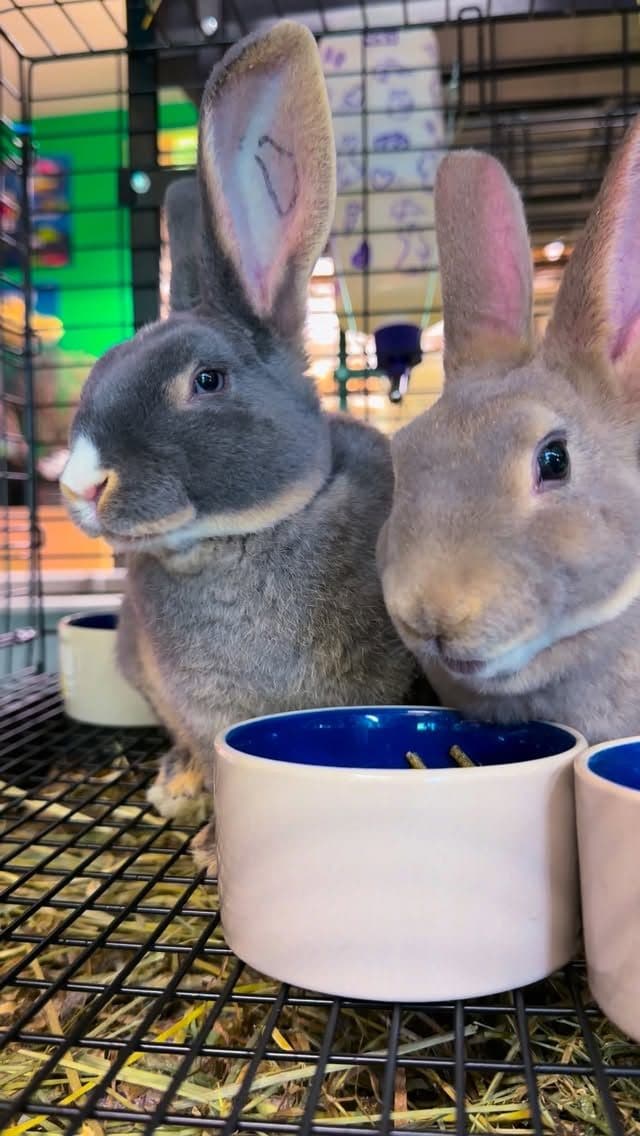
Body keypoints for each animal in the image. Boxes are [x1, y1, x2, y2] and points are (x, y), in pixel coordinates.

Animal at [59, 21, 428, 860]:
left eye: (207, 380)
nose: (79, 482)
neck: (233, 543)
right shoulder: (193, 707)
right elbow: (210, 750)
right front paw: (208, 834)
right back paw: (177, 785)